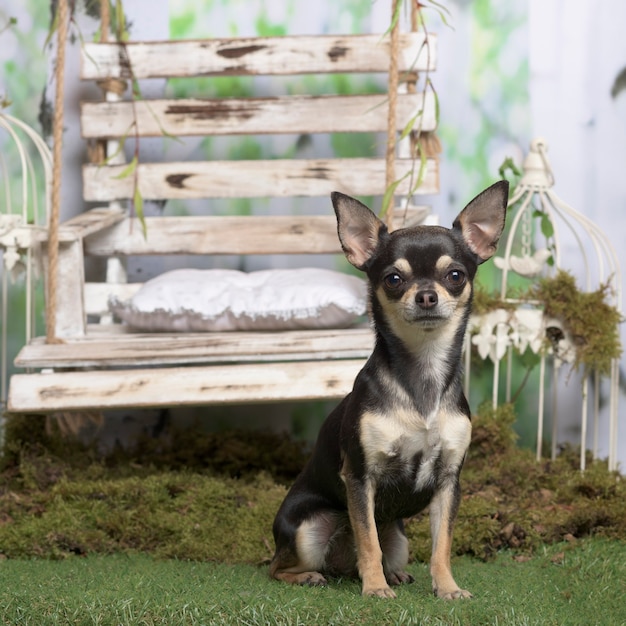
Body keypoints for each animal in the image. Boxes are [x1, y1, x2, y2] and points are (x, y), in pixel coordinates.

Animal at [270, 179, 508, 596]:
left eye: (455, 275)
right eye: (393, 279)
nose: (426, 295)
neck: (423, 373)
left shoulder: (449, 483)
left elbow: (441, 545)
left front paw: (447, 587)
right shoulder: (360, 477)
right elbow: (368, 541)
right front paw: (375, 589)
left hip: (399, 538)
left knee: (380, 552)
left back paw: (391, 573)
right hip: (308, 529)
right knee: (277, 567)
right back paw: (312, 576)